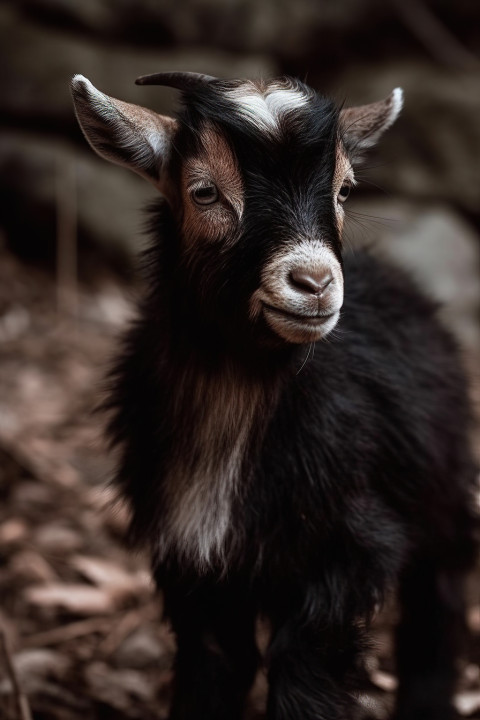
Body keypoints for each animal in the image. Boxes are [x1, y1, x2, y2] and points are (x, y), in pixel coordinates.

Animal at [71, 71, 478, 720]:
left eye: (343, 190)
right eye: (204, 192)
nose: (314, 283)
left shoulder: (352, 543)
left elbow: (305, 666)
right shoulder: (191, 552)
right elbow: (214, 661)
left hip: (442, 482)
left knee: (438, 598)